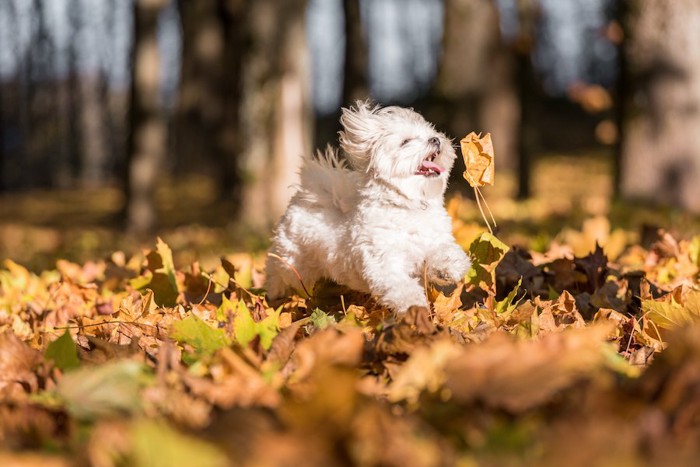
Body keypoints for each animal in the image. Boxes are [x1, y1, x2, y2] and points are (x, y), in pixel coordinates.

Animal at [266, 102, 474, 314]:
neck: (409, 204)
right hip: (292, 263)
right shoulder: (384, 262)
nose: (435, 139)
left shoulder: (434, 241)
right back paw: (273, 296)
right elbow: (400, 286)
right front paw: (413, 306)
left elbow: (443, 251)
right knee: (277, 272)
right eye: (406, 141)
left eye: (431, 133)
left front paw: (449, 267)